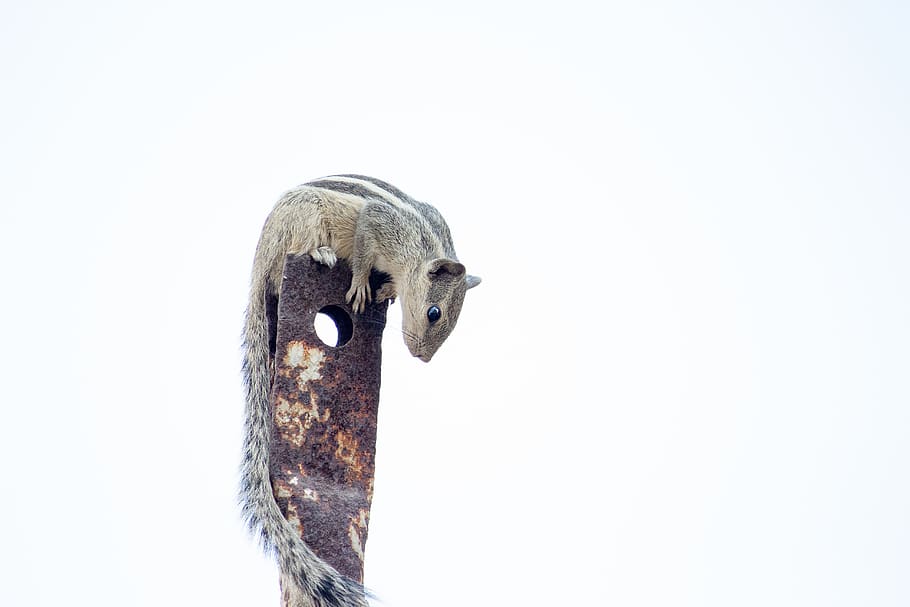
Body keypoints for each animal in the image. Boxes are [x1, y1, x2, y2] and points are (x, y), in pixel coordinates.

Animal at [241, 175, 481, 607]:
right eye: (434, 312)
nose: (423, 358)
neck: (421, 245)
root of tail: (261, 252)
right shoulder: (378, 225)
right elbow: (365, 250)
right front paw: (360, 285)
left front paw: (386, 291)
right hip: (303, 220)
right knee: (296, 251)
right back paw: (320, 252)